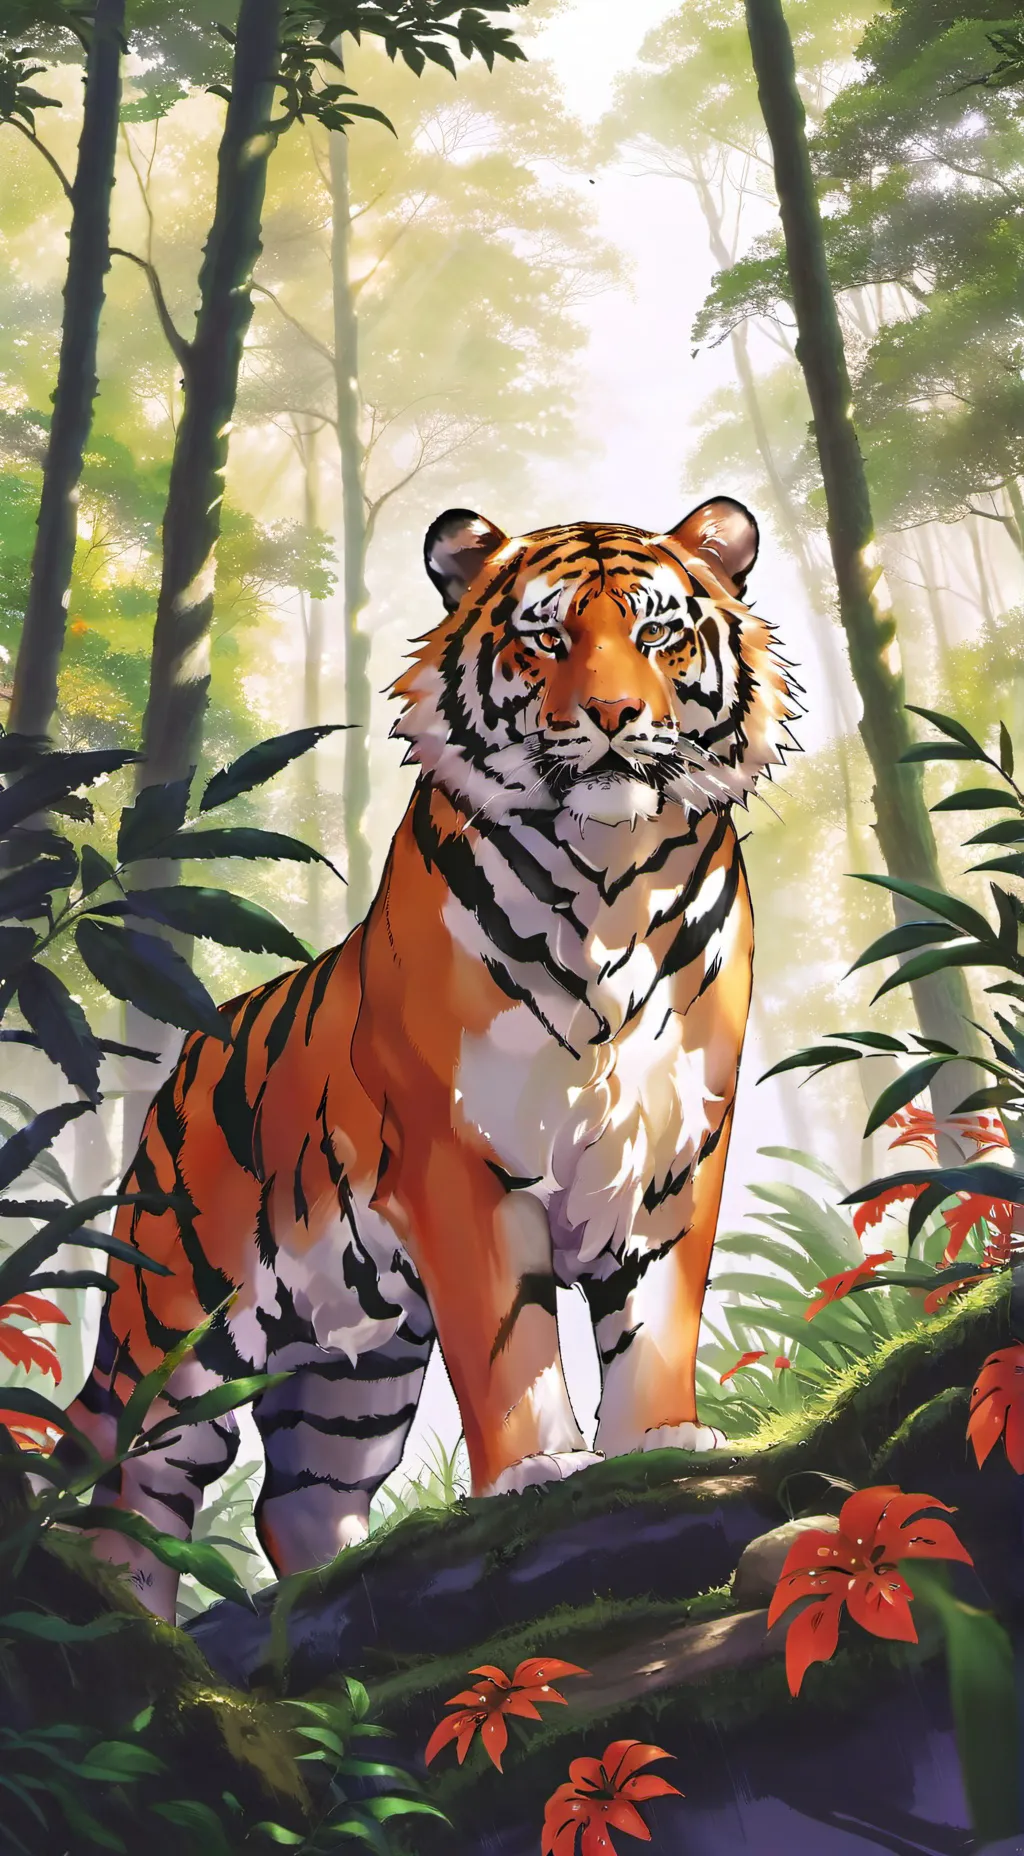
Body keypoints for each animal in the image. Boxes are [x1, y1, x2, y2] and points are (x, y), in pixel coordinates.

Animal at [67, 496, 799, 1620]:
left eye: (656, 633)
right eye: (547, 636)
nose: (614, 715)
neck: (612, 878)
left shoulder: (674, 1145)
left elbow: (659, 1316)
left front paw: (659, 1442)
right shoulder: (459, 1156)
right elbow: (509, 1341)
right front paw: (540, 1468)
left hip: (354, 1369)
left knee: (298, 1500)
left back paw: (334, 1595)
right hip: (180, 1321)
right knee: (133, 1486)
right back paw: (142, 1629)